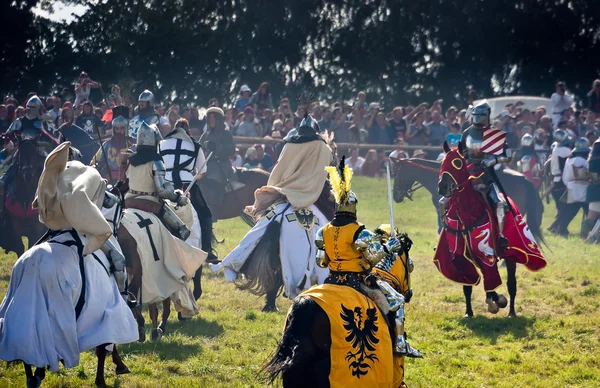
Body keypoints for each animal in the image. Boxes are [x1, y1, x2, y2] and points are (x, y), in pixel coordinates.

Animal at [434, 144, 548, 316]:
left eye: (457, 163)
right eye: (442, 163)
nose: (442, 187)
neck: (468, 213)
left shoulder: (487, 254)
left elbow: (492, 279)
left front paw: (498, 301)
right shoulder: (462, 258)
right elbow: (468, 285)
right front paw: (469, 312)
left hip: (513, 254)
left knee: (511, 283)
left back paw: (511, 312)